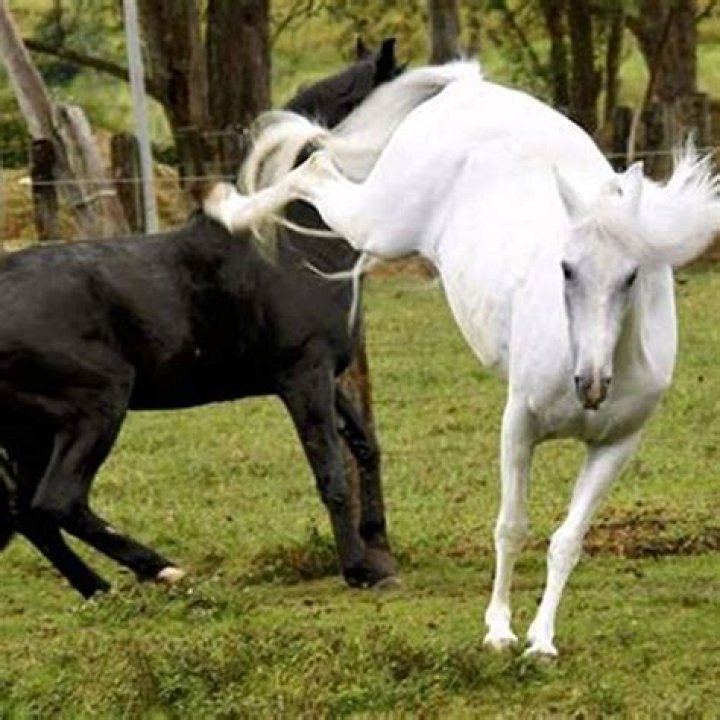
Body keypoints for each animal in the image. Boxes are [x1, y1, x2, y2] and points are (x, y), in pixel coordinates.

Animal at [0, 39, 402, 599]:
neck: (290, 239)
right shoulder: (303, 375)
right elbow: (331, 473)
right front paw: (359, 569)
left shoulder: (323, 373)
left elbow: (365, 447)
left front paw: (378, 550)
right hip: (94, 407)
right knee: (57, 501)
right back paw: (162, 570)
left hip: (30, 433)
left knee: (30, 515)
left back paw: (99, 589)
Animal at [203, 61, 720, 656]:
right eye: (565, 269)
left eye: (632, 276)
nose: (590, 383)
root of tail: (468, 88)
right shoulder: (519, 424)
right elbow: (511, 526)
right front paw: (498, 630)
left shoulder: (615, 447)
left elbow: (568, 539)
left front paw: (541, 641)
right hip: (381, 222)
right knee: (312, 166)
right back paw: (227, 208)